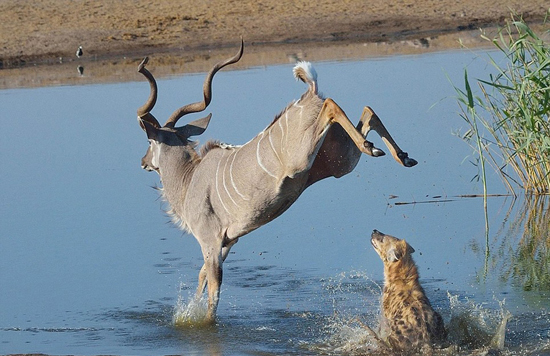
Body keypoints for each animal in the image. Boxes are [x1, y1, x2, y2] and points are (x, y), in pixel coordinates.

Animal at [137, 41, 418, 322]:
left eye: (150, 141)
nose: (143, 161)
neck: (189, 179)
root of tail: (309, 94)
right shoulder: (228, 242)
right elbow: (202, 277)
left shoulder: (211, 242)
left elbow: (213, 290)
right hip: (343, 161)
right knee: (368, 112)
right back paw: (399, 155)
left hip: (301, 157)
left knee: (332, 106)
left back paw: (375, 148)